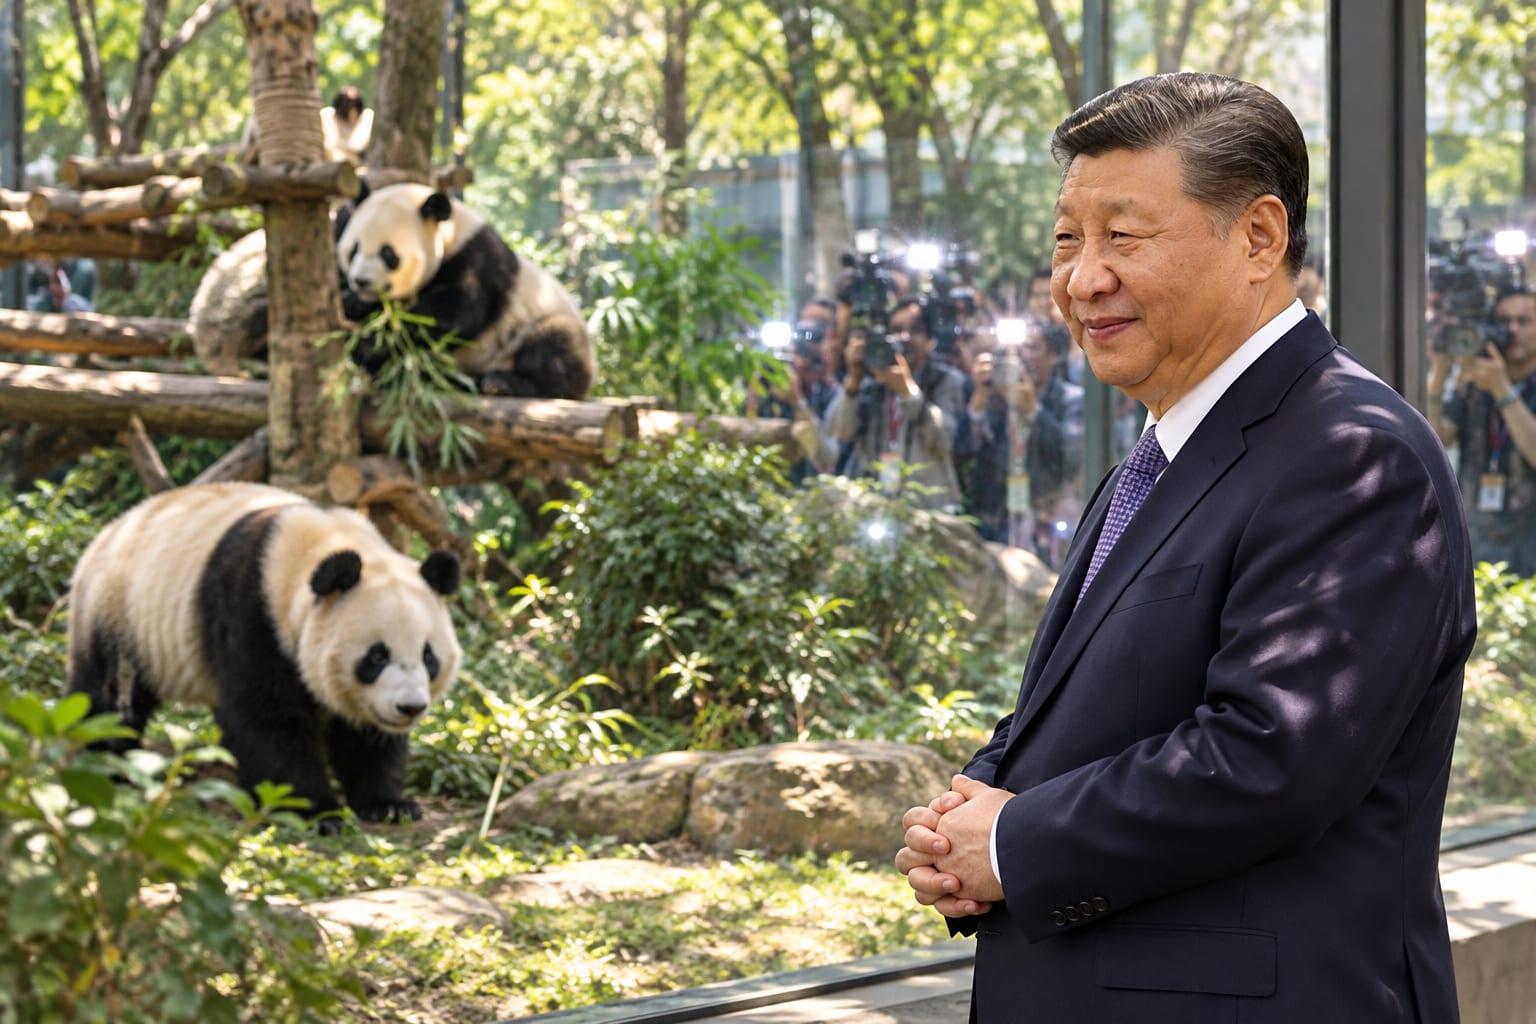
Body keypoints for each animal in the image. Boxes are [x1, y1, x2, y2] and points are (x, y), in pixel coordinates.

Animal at [67, 482, 462, 831]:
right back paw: (103, 763)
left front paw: (388, 805)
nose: (410, 707)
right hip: (119, 611)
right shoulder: (251, 612)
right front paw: (314, 812)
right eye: (377, 656)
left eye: (429, 656)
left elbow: (364, 735)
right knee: (110, 695)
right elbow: (266, 716)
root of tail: (107, 532)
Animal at [335, 182, 595, 398]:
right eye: (354, 250)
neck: (448, 232)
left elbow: (455, 312)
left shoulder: (477, 260)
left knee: (553, 348)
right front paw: (353, 304)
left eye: (388, 254)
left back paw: (503, 384)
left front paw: (366, 338)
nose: (361, 281)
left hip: (539, 326)